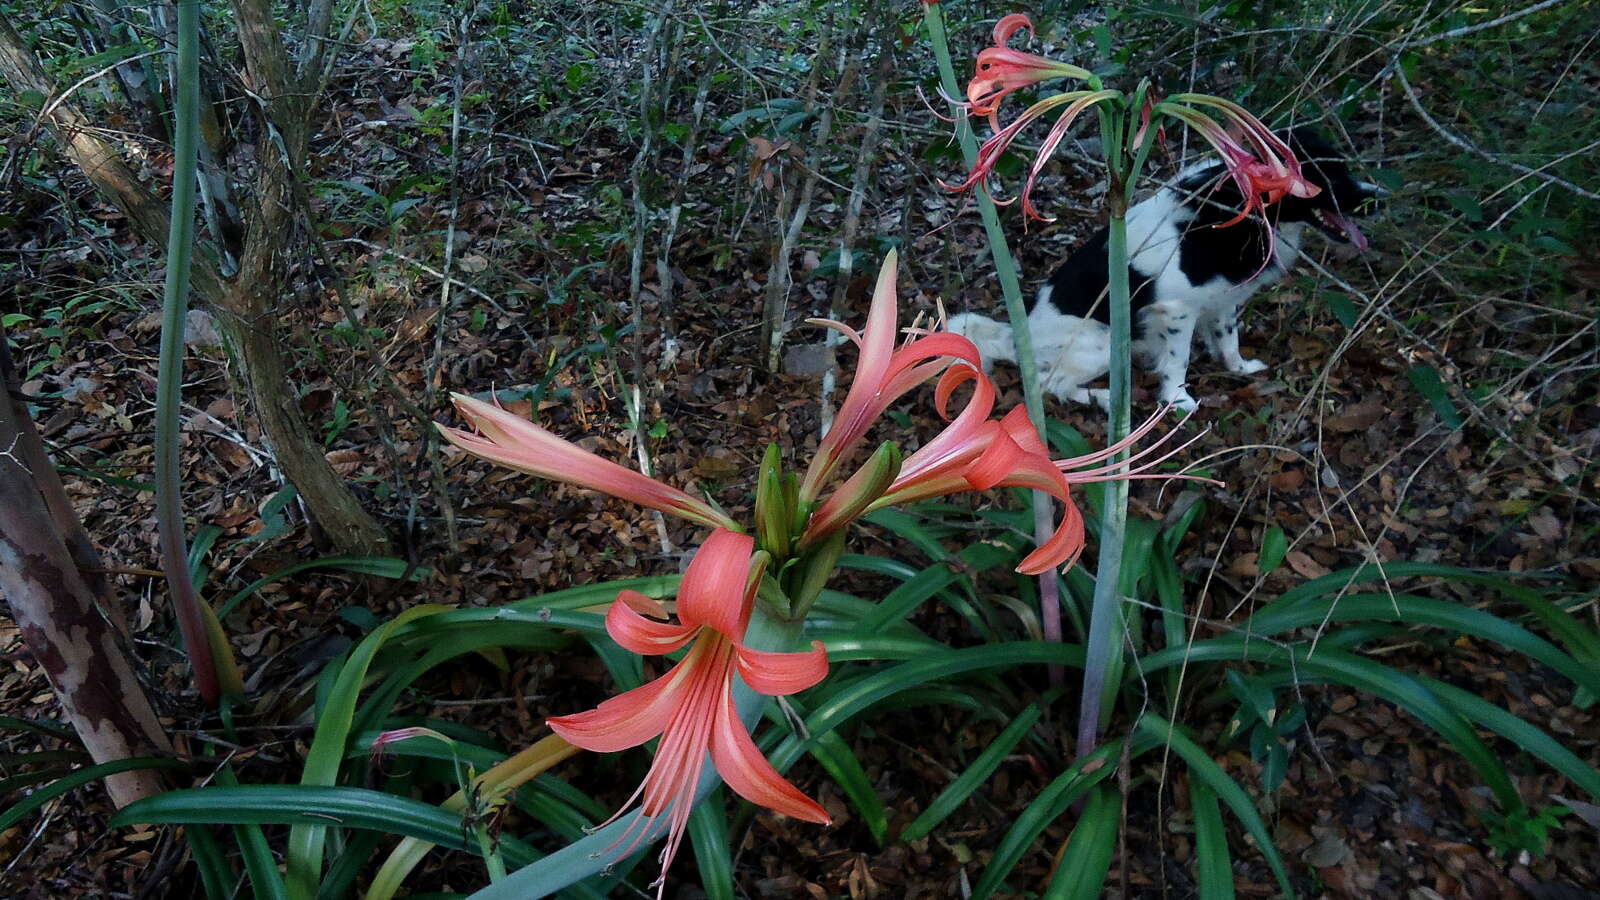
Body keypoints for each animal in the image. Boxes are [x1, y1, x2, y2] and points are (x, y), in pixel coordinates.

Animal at [953, 128, 1382, 408]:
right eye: (1322, 177)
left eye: (1343, 167)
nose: (1378, 197)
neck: (1237, 214)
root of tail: (1016, 334)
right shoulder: (1176, 311)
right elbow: (1179, 360)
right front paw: (1178, 400)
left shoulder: (1223, 299)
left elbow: (1228, 338)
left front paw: (1239, 368)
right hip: (1104, 342)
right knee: (1049, 383)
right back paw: (1102, 397)